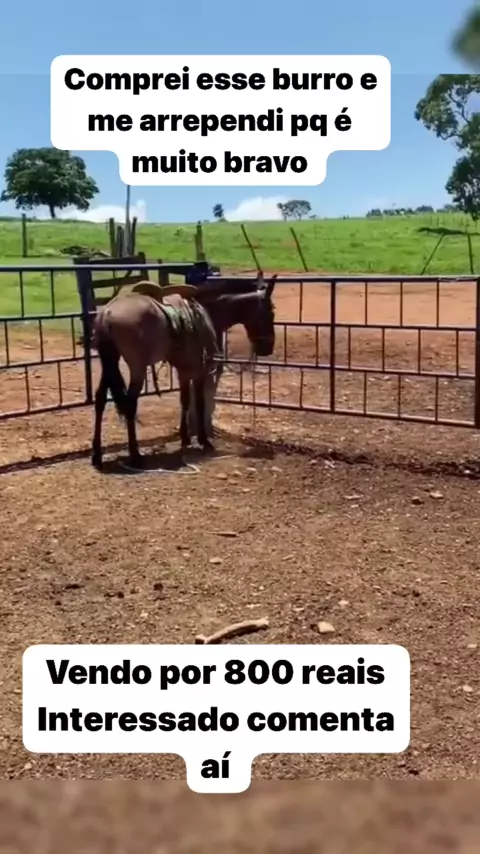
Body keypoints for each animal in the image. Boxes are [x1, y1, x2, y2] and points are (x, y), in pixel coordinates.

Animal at [90, 274, 277, 469]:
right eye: (270, 312)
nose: (268, 348)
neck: (206, 310)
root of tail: (107, 313)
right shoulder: (200, 370)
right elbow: (200, 403)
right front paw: (204, 440)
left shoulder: (184, 370)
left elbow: (185, 401)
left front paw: (185, 438)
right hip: (137, 367)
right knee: (130, 404)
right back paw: (135, 455)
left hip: (109, 361)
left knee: (100, 399)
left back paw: (97, 455)